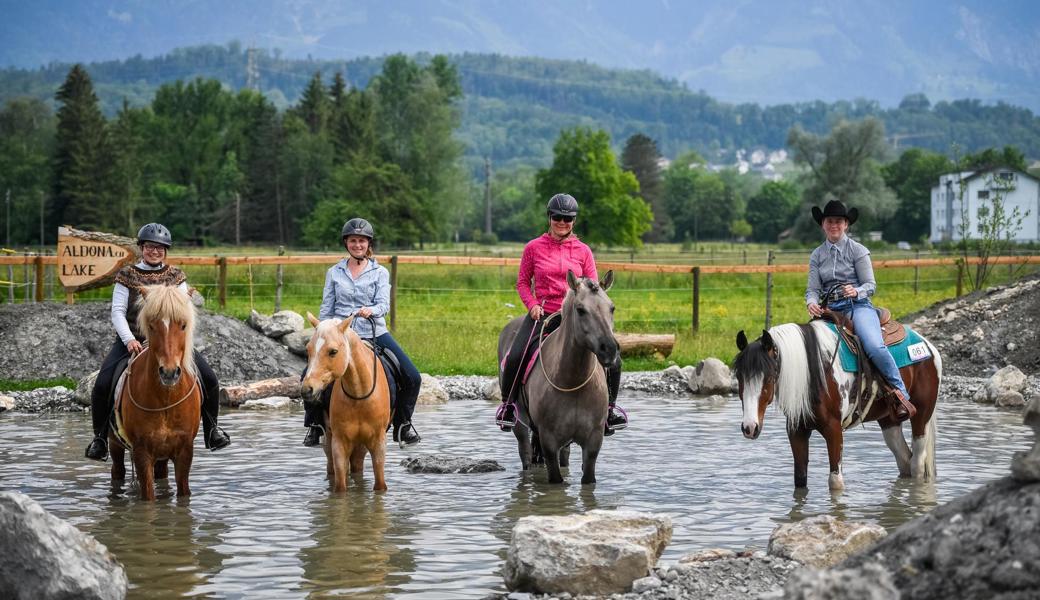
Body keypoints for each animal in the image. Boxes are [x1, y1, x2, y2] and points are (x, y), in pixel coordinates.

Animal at [111, 282, 204, 499]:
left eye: (183, 325)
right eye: (152, 326)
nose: (169, 373)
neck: (166, 400)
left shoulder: (185, 451)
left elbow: (183, 493)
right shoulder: (142, 453)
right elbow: (148, 497)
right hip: (114, 445)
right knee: (117, 471)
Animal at [303, 314, 393, 490]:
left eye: (333, 351)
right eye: (308, 350)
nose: (307, 389)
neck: (358, 395)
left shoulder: (378, 443)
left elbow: (380, 484)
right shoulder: (339, 443)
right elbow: (340, 487)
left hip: (361, 446)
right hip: (329, 441)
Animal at [495, 268, 615, 484]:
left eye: (612, 308)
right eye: (581, 310)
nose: (609, 349)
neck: (573, 381)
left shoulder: (593, 443)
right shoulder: (549, 442)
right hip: (520, 426)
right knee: (526, 456)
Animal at [732, 318, 944, 490]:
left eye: (768, 377)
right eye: (739, 377)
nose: (749, 427)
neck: (815, 371)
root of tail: (929, 347)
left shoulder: (833, 429)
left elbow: (835, 481)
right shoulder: (796, 430)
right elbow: (800, 480)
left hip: (922, 416)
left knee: (917, 463)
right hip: (889, 421)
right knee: (904, 460)